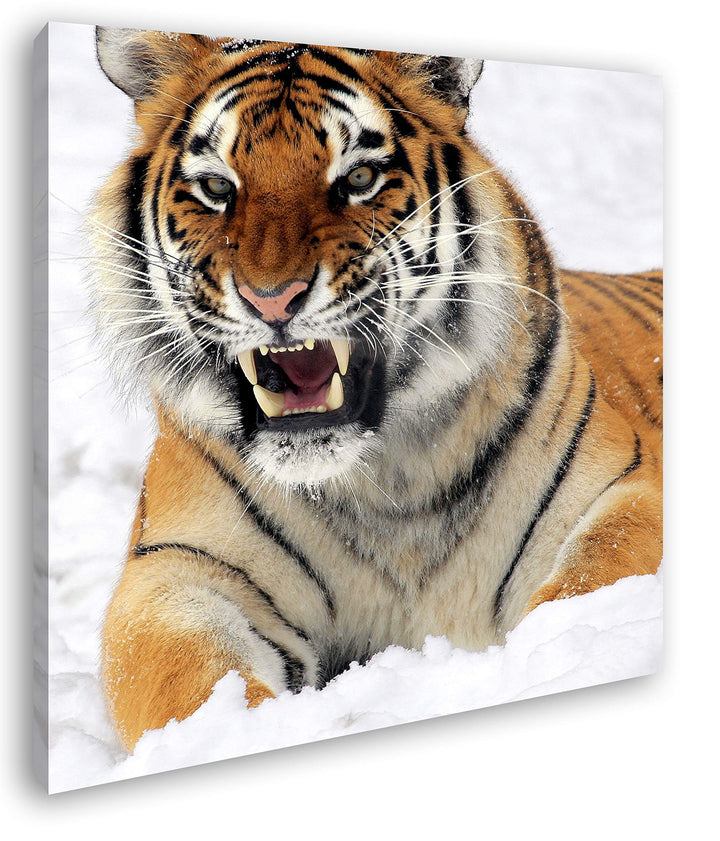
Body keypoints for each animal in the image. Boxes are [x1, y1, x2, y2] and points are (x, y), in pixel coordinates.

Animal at [90, 26, 663, 751]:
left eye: (358, 178)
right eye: (218, 187)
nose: (271, 298)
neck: (385, 484)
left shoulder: (624, 488)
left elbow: (592, 580)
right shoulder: (177, 568)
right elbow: (184, 680)